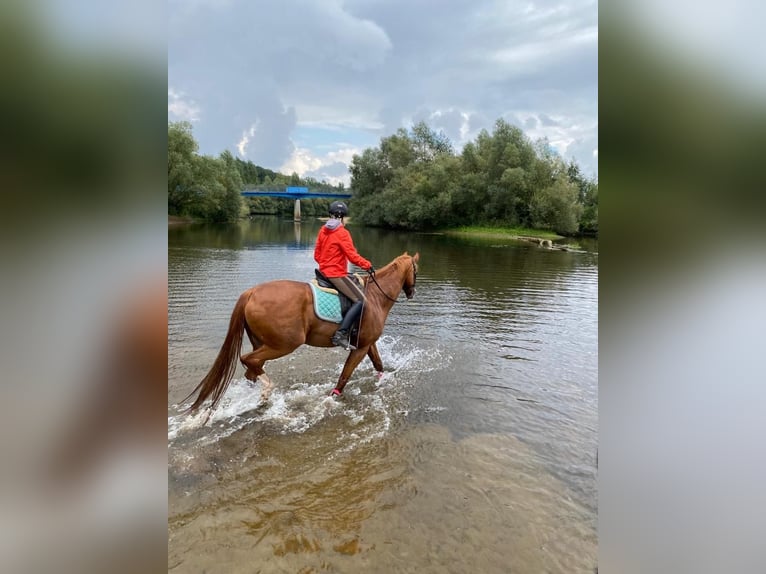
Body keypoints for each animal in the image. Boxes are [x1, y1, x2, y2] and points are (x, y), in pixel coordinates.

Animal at [184, 252, 420, 414]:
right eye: (416, 270)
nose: (412, 292)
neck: (374, 297)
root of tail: (250, 293)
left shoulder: (367, 343)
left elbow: (378, 364)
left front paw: (384, 380)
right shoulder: (360, 347)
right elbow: (345, 376)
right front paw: (333, 397)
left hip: (263, 342)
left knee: (252, 369)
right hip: (284, 344)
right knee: (248, 359)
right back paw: (266, 390)